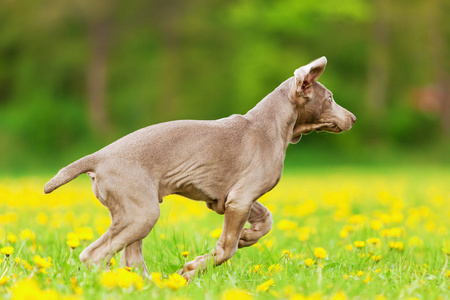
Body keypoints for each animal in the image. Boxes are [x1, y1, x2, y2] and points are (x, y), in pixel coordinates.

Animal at [44, 56, 356, 282]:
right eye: (330, 98)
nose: (353, 118)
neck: (272, 125)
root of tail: (98, 156)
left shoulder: (229, 199)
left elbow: (266, 220)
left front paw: (248, 236)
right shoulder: (240, 198)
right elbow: (226, 248)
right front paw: (192, 269)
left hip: (132, 213)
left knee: (129, 258)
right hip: (142, 212)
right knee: (93, 255)